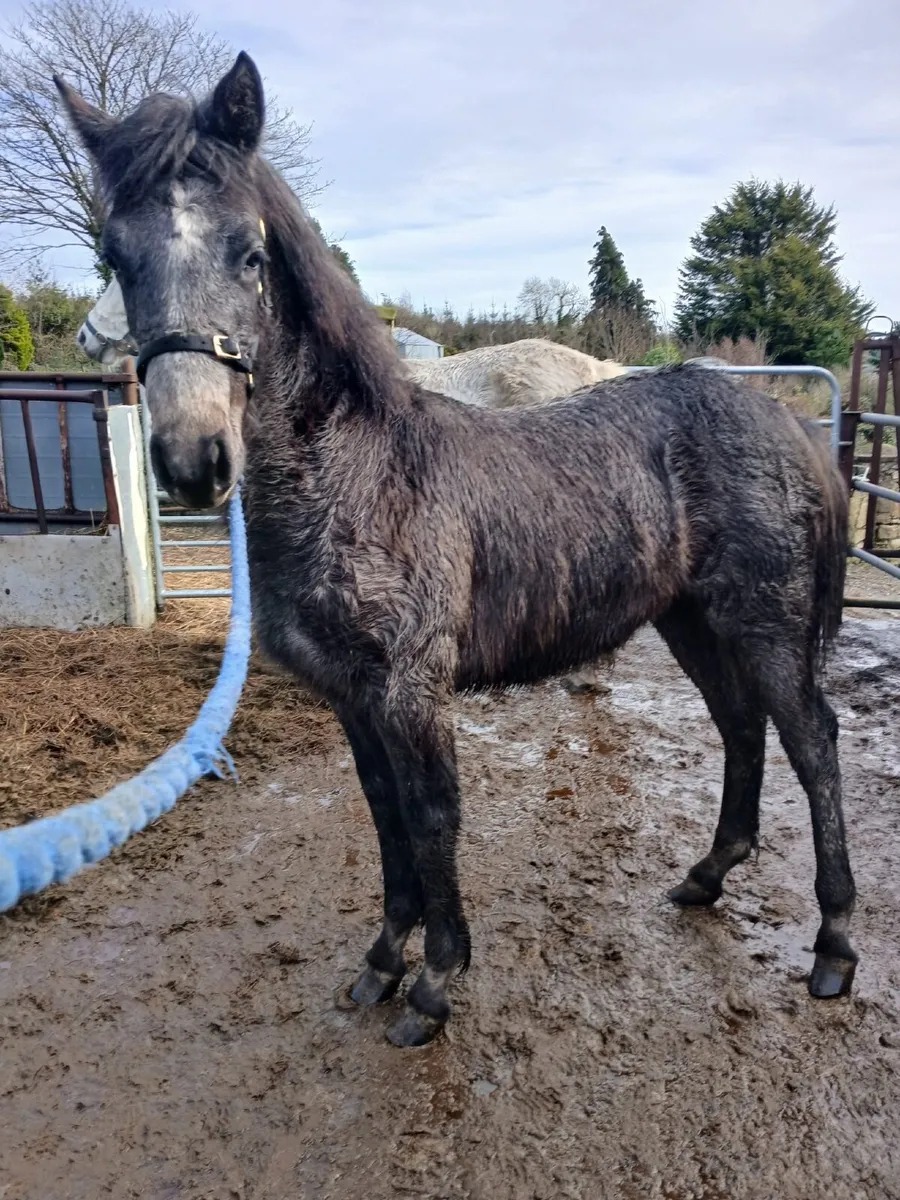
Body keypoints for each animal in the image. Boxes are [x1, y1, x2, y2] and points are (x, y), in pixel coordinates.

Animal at [55, 53, 857, 1048]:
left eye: (250, 252)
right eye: (115, 256)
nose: (193, 461)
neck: (358, 474)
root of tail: (783, 418)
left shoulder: (410, 686)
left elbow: (433, 815)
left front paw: (436, 982)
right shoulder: (349, 693)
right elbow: (385, 814)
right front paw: (381, 963)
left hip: (767, 624)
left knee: (812, 738)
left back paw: (834, 944)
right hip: (692, 622)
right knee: (741, 727)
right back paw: (706, 877)